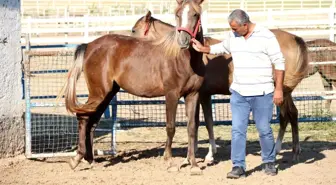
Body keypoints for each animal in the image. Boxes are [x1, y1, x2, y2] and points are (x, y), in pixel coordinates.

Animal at [58, 0, 205, 173]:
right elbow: (170, 127)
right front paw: (169, 161)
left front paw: (194, 165)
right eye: (177, 14)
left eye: (196, 14)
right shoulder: (171, 95)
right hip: (98, 93)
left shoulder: (193, 95)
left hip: (107, 94)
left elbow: (192, 128)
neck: (182, 59)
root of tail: (89, 45)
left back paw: (89, 159)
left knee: (92, 122)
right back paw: (77, 159)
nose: (183, 41)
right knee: (83, 117)